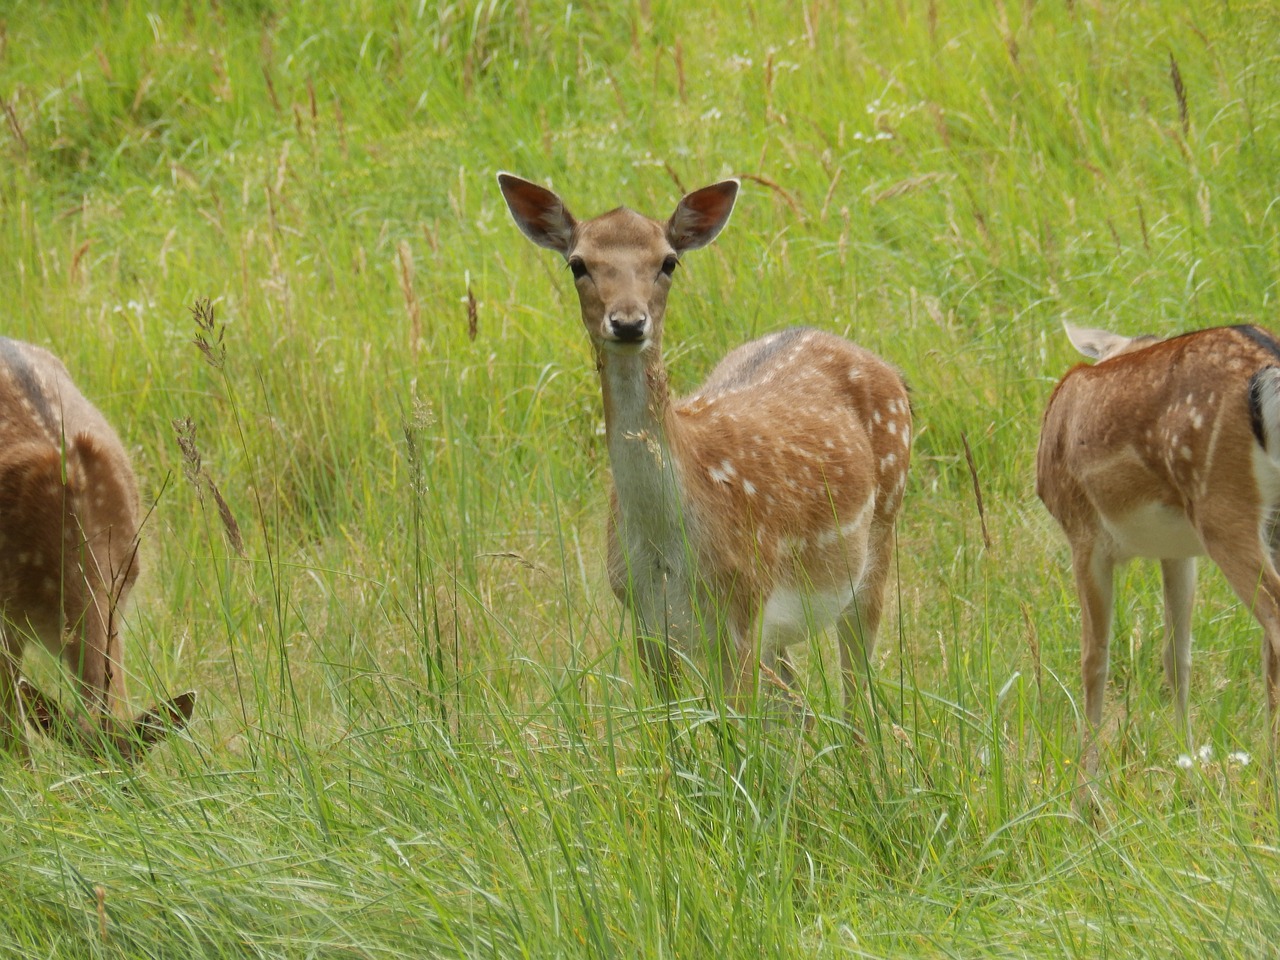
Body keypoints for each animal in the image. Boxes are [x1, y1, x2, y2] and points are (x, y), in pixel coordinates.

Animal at [496, 176, 911, 727]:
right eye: (578, 263)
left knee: (857, 701)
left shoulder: (742, 607)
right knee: (799, 706)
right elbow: (670, 733)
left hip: (879, 537)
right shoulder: (644, 619)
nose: (628, 322)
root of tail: (893, 373)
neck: (666, 546)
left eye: (668, 261)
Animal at [1039, 320, 1280, 793]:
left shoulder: (1084, 536)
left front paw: (1084, 797)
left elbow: (1093, 660)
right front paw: (1188, 771)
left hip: (1224, 509)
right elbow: (1177, 657)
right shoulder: (1179, 552)